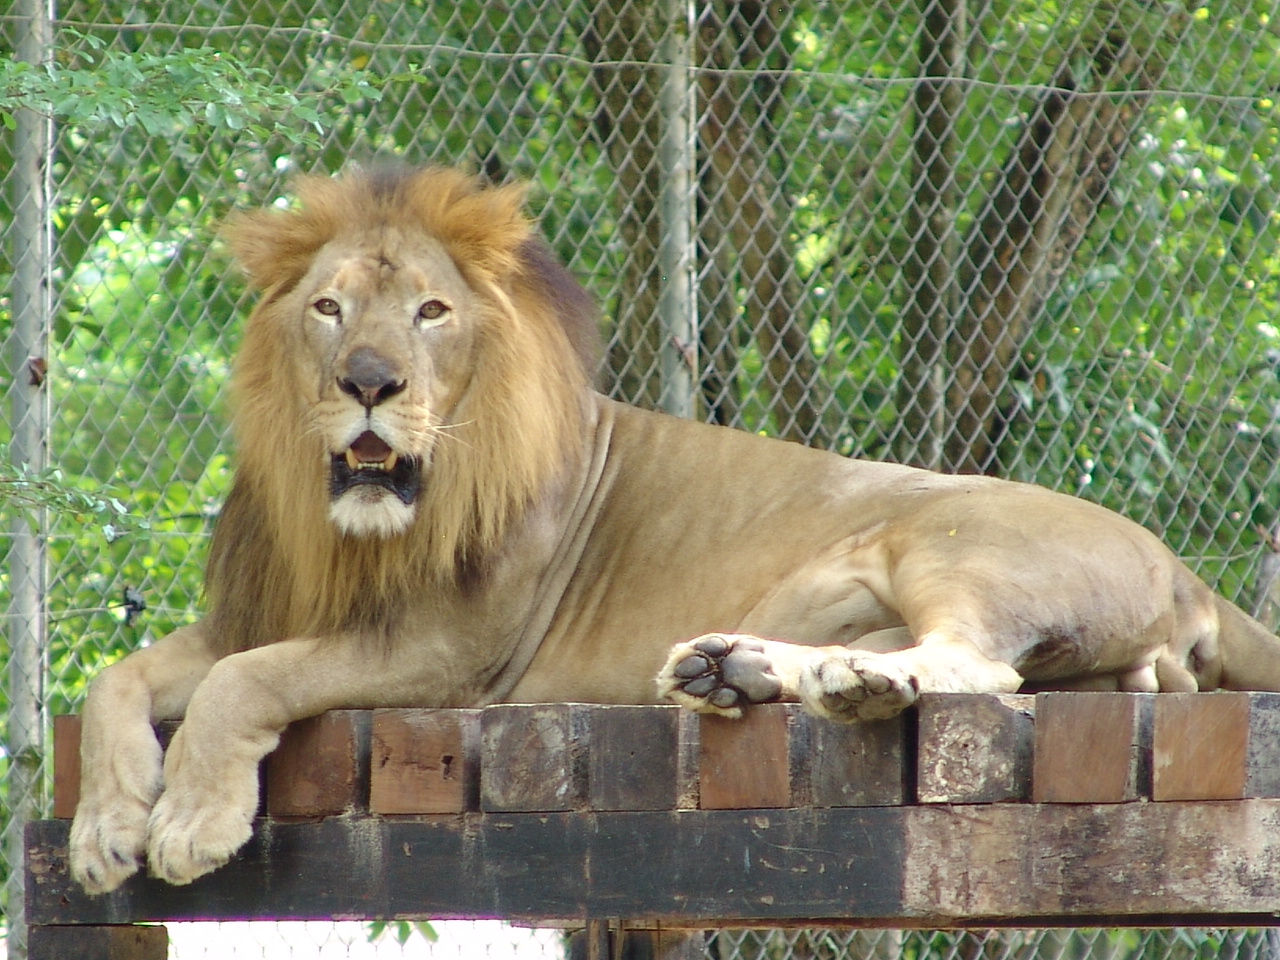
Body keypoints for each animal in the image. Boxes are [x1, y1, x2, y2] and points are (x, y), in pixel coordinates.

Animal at [70, 165, 1280, 895]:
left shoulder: (453, 653)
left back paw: (848, 687)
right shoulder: (266, 606)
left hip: (943, 538)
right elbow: (116, 678)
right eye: (328, 308)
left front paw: (188, 821)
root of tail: (1185, 568)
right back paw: (734, 670)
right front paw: (104, 827)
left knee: (981, 667)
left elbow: (247, 683)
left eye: (430, 312)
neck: (352, 526)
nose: (369, 382)